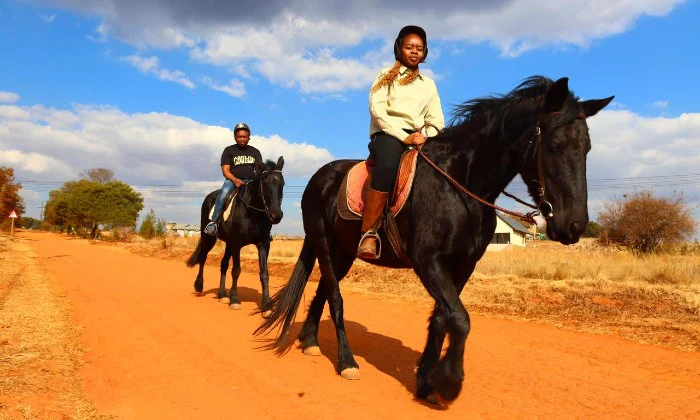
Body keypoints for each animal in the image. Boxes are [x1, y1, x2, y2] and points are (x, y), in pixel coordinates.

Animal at [186, 157, 285, 315]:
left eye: (282, 183)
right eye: (264, 183)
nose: (276, 215)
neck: (252, 213)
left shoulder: (263, 244)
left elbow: (264, 273)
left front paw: (267, 305)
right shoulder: (237, 244)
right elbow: (236, 270)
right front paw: (234, 300)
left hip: (228, 243)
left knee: (223, 264)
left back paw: (222, 294)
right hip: (209, 237)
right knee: (203, 257)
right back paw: (199, 286)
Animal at [255, 77, 613, 404]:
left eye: (587, 149)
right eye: (554, 145)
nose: (574, 225)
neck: (459, 184)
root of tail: (319, 178)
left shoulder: (463, 265)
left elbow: (443, 318)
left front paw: (427, 379)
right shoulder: (429, 262)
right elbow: (460, 319)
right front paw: (450, 381)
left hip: (342, 251)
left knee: (323, 291)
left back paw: (310, 341)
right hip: (325, 244)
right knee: (336, 298)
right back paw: (346, 362)